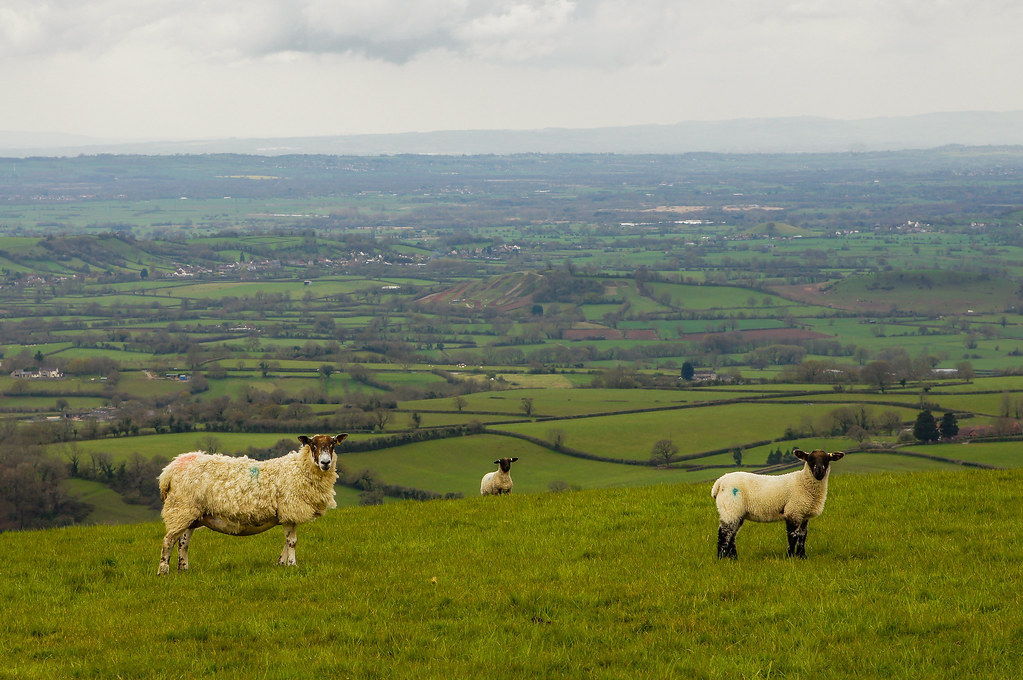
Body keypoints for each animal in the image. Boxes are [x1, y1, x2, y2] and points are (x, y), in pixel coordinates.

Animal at [156, 435, 347, 572]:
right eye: (313, 445)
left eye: (333, 444)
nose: (325, 462)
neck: (300, 469)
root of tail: (169, 471)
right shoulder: (290, 509)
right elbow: (292, 541)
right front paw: (292, 564)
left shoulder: (287, 514)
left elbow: (287, 542)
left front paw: (281, 563)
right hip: (180, 508)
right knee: (168, 540)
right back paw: (163, 571)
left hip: (190, 513)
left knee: (183, 542)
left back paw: (183, 568)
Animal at [712, 445, 847, 556]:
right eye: (809, 459)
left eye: (827, 459)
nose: (819, 471)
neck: (803, 482)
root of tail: (719, 483)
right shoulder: (793, 511)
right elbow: (792, 536)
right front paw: (790, 556)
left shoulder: (804, 515)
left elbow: (802, 536)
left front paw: (802, 556)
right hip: (730, 507)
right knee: (724, 533)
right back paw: (721, 558)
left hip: (737, 512)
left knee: (732, 535)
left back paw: (733, 558)